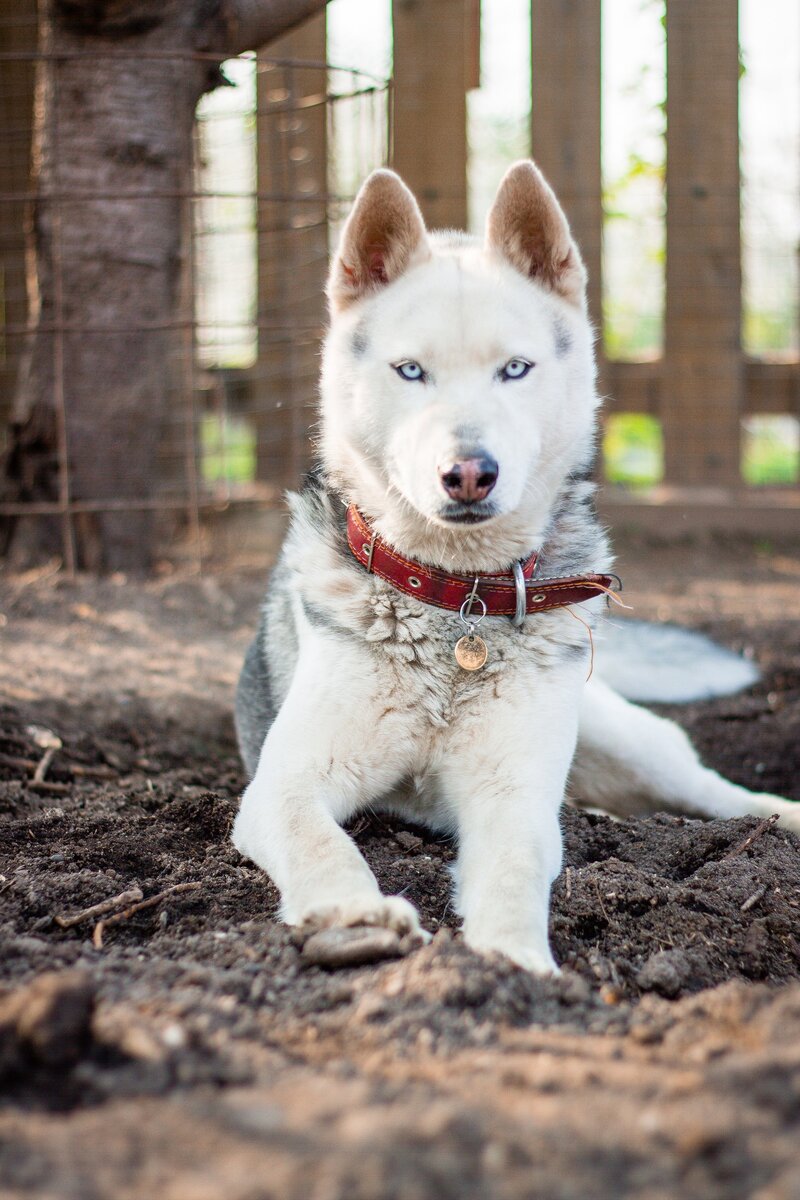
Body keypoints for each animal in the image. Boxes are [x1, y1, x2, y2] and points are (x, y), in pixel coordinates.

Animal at [231, 162, 800, 974]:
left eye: (515, 369)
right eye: (411, 371)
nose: (469, 473)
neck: (454, 603)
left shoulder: (514, 798)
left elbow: (515, 869)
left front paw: (515, 964)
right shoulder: (285, 787)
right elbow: (324, 846)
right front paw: (355, 915)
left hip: (628, 744)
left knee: (710, 790)